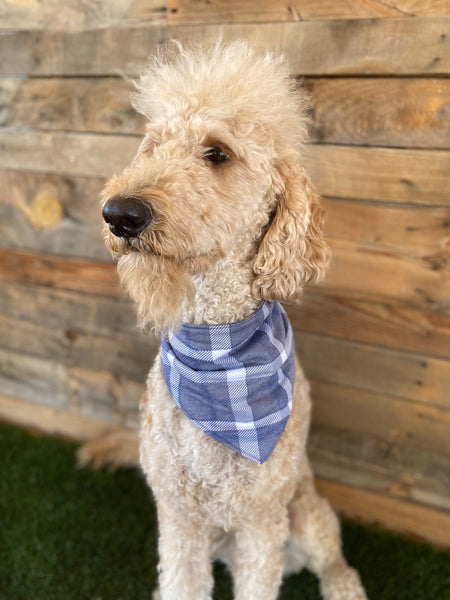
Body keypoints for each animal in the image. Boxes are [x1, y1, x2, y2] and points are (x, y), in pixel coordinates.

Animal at [89, 41, 370, 600]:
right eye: (152, 147)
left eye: (217, 153)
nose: (119, 213)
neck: (217, 348)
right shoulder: (179, 518)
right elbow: (182, 582)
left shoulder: (260, 521)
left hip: (305, 515)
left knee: (335, 559)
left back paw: (344, 588)